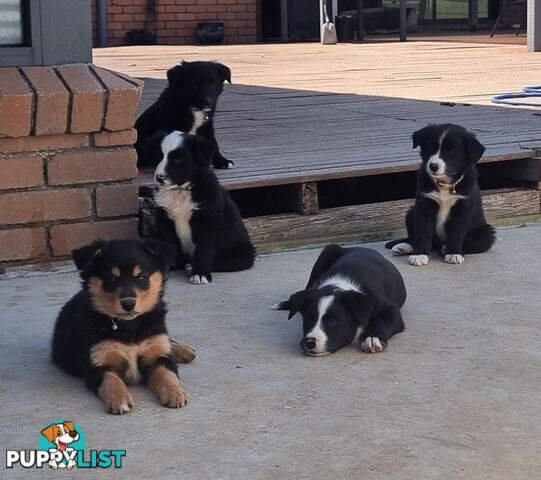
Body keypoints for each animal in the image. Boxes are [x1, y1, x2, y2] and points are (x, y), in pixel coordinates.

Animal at [149, 129, 256, 284]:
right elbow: (166, 246)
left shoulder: (207, 222)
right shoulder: (164, 220)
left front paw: (200, 273)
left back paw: (191, 266)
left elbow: (204, 251)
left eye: (177, 159)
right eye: (159, 156)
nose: (159, 177)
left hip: (243, 253)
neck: (181, 191)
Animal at [274, 246, 404, 354]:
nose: (309, 342)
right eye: (308, 319)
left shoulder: (390, 308)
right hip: (327, 252)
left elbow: (383, 321)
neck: (338, 285)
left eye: (332, 321)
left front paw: (372, 338)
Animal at [384, 123, 494, 266]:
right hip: (411, 213)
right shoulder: (424, 205)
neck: (445, 184)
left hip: (487, 232)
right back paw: (404, 247)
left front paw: (453, 253)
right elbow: (423, 233)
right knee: (423, 241)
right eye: (431, 147)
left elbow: (456, 233)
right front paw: (420, 254)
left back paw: (444, 248)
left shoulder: (462, 209)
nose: (433, 166)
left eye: (451, 151)